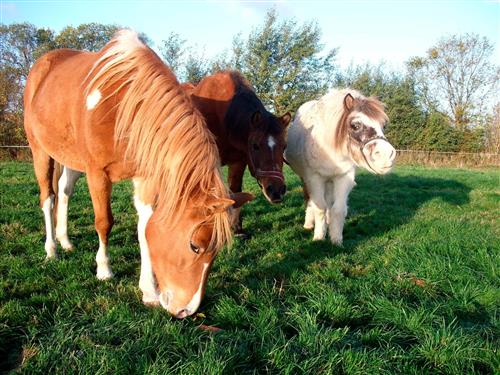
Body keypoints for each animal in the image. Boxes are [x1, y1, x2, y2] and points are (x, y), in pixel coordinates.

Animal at [24, 29, 250, 318]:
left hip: (71, 158)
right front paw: (104, 269)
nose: (185, 311)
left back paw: (65, 241)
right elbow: (104, 222)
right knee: (48, 197)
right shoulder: (97, 173)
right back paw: (52, 249)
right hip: (40, 150)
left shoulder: (144, 177)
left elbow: (145, 229)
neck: (123, 104)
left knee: (64, 191)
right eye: (195, 245)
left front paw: (149, 291)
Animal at [185, 72, 292, 236]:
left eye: (284, 146)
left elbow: (235, 191)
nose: (276, 191)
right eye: (255, 146)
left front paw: (237, 228)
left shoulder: (238, 162)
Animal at [286, 89, 394, 245]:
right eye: (355, 125)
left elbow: (338, 209)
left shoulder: (344, 177)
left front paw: (336, 239)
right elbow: (320, 207)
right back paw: (309, 224)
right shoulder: (314, 178)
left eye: (383, 125)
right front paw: (319, 237)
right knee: (310, 200)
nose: (386, 155)